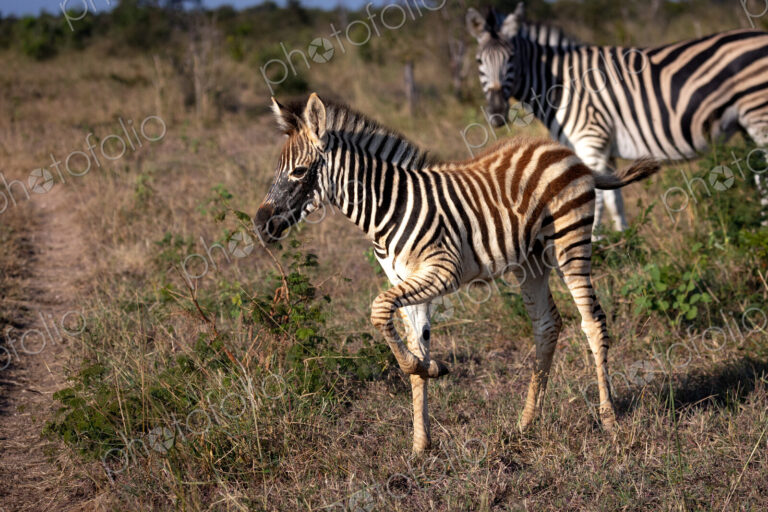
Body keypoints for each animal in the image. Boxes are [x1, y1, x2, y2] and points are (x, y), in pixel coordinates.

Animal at [253, 93, 659, 453]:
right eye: (277, 171)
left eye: (299, 172)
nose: (259, 224)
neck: (390, 208)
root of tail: (567, 153)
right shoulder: (404, 280)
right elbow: (413, 343)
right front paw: (421, 442)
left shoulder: (441, 271)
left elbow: (379, 309)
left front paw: (429, 371)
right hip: (531, 261)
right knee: (547, 326)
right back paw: (527, 422)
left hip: (570, 244)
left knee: (593, 322)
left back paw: (610, 423)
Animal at [467, 2, 768, 232]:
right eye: (479, 61)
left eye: (511, 58)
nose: (496, 115)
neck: (558, 83)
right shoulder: (605, 150)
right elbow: (615, 200)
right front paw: (622, 243)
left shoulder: (590, 140)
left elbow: (596, 199)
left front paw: (598, 245)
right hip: (747, 123)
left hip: (759, 114)